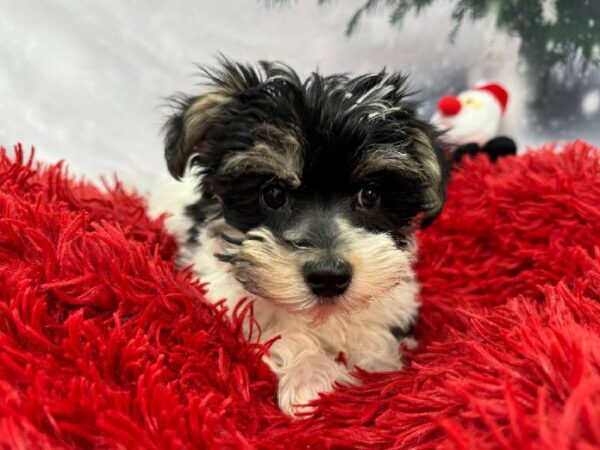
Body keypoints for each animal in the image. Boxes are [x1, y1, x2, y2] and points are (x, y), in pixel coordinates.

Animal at [152, 59, 448, 414]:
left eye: (370, 195)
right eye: (274, 194)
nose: (329, 277)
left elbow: (376, 337)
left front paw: (370, 366)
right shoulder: (224, 297)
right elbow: (277, 331)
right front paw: (311, 378)